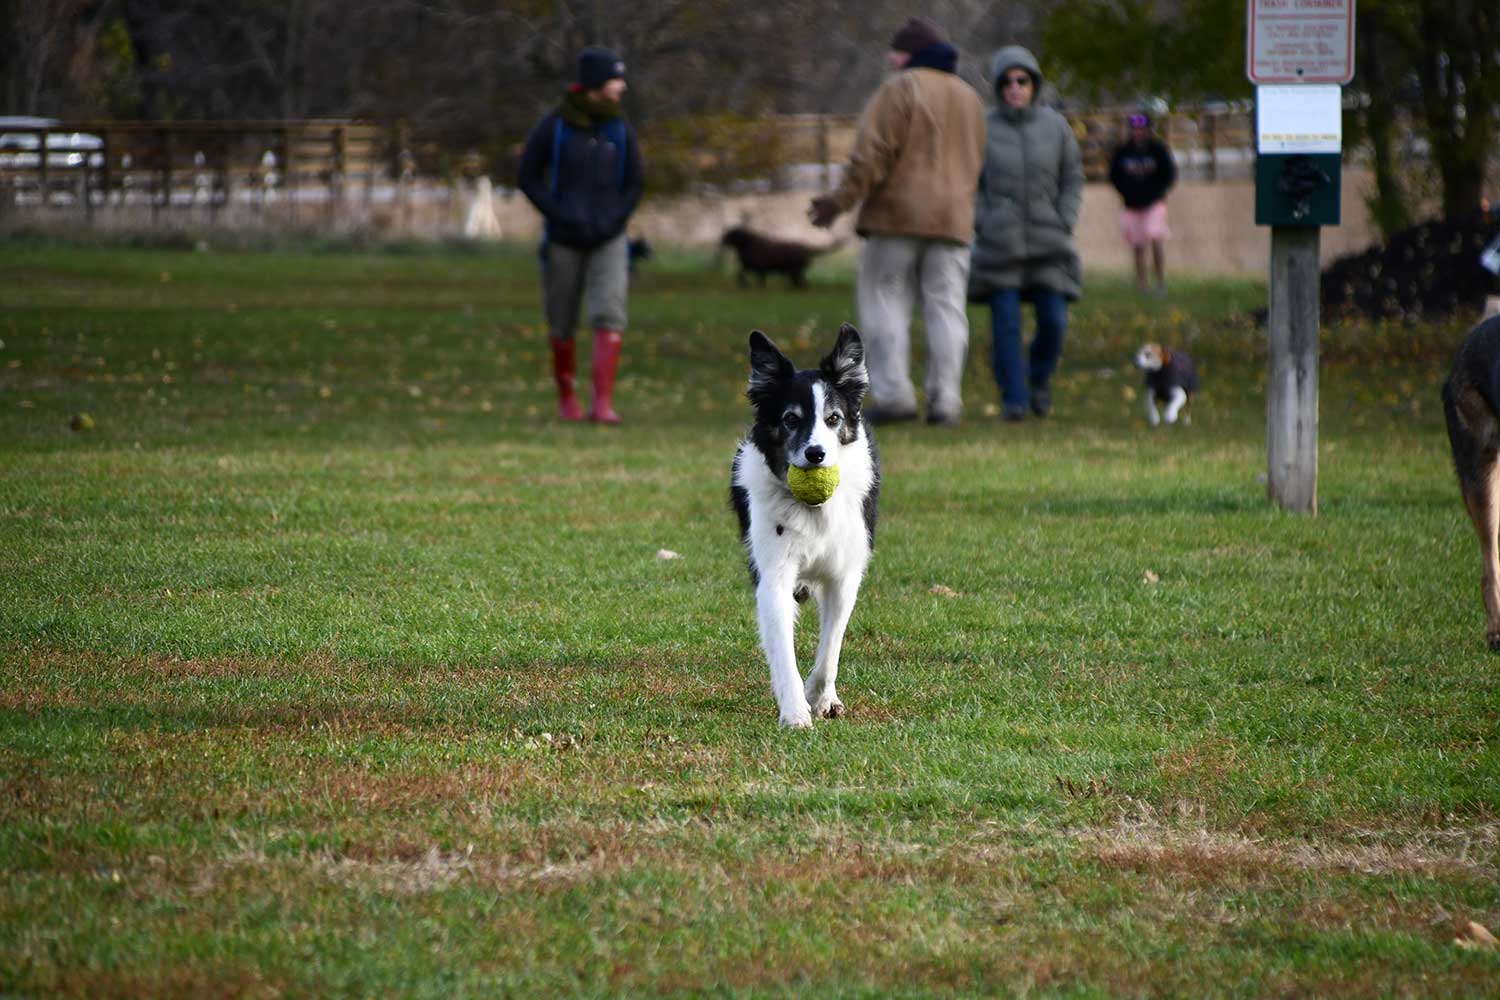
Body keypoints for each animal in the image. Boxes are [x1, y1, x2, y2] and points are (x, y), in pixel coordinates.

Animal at [735, 326, 882, 728]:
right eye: (790, 418)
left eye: (833, 418)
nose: (816, 454)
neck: (814, 509)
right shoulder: (774, 575)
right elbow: (783, 652)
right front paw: (795, 712)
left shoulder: (844, 577)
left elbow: (830, 647)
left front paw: (822, 697)